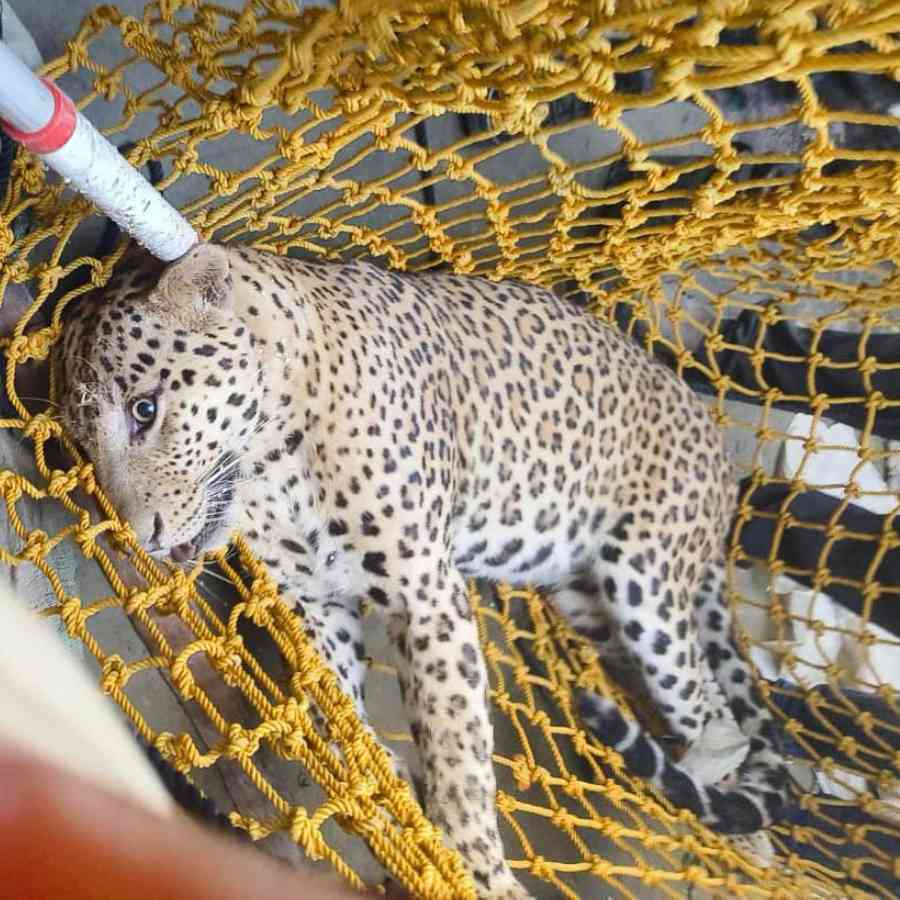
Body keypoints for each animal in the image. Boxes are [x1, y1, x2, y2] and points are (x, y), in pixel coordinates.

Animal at [55, 242, 790, 899]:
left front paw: (479, 872)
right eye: (85, 443)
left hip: (646, 582)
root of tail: (717, 443)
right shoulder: (317, 604)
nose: (141, 534)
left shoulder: (426, 593)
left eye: (145, 409)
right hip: (587, 601)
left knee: (706, 697)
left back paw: (747, 834)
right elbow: (343, 711)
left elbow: (457, 747)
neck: (273, 469)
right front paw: (381, 791)